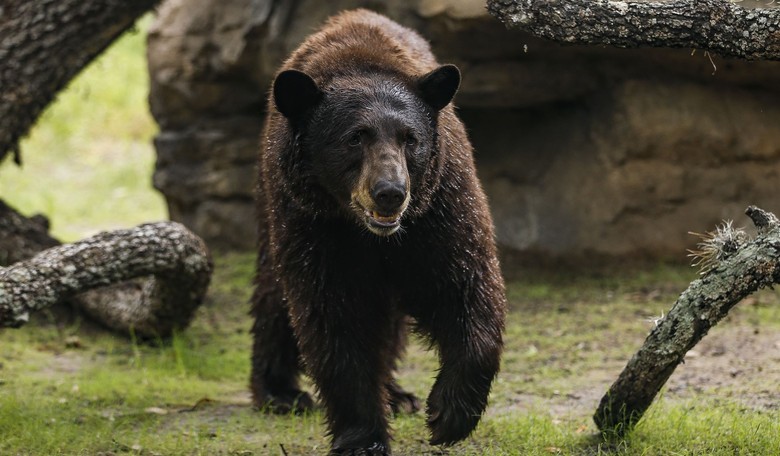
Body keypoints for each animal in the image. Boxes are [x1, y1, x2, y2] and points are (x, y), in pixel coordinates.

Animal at [250, 9, 506, 455]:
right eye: (355, 138)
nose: (390, 193)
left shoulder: (440, 206)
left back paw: (398, 394)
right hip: (271, 205)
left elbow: (466, 285)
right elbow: (335, 320)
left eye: (411, 139)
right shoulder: (316, 227)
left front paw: (448, 414)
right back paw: (278, 391)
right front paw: (362, 437)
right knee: (273, 293)